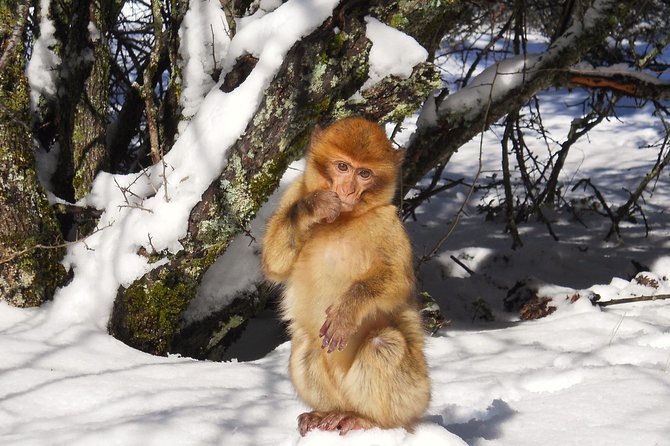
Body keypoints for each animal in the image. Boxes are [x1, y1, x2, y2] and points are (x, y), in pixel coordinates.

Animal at [262, 117, 430, 436]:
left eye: (364, 173)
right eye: (342, 167)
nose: (348, 190)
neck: (344, 218)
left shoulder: (387, 222)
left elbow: (398, 279)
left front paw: (347, 310)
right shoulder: (294, 192)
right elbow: (274, 264)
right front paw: (313, 207)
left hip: (414, 394)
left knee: (383, 344)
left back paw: (368, 419)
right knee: (305, 345)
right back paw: (327, 412)